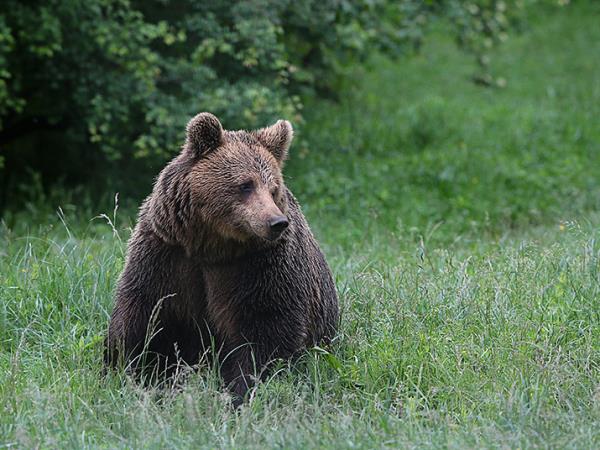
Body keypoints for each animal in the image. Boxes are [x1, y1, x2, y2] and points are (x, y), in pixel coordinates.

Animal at [106, 112, 340, 404]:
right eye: (246, 184)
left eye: (274, 188)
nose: (276, 222)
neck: (212, 246)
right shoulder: (166, 253)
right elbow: (143, 311)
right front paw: (127, 371)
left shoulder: (261, 267)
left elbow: (266, 328)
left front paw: (241, 390)